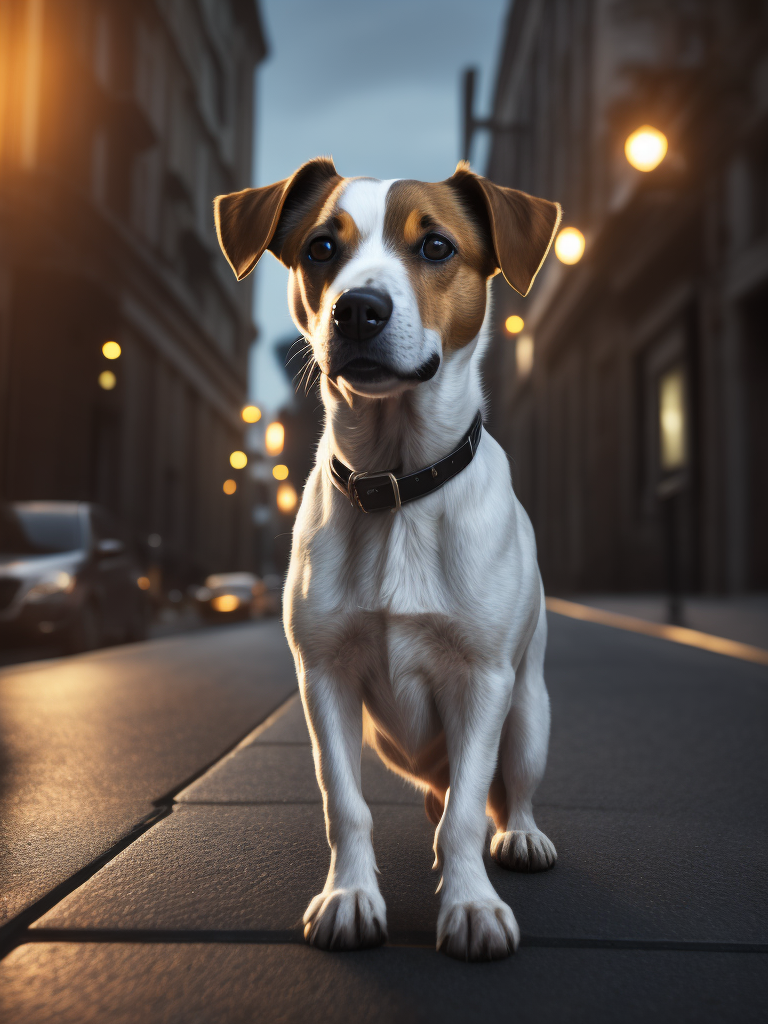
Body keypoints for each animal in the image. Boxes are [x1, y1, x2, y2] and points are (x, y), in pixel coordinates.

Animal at [214, 159, 561, 958]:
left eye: (436, 246)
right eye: (320, 247)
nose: (358, 310)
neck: (399, 483)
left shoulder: (483, 681)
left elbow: (469, 811)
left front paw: (471, 905)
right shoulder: (324, 680)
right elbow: (345, 804)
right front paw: (349, 897)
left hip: (529, 713)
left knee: (506, 792)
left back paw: (520, 837)